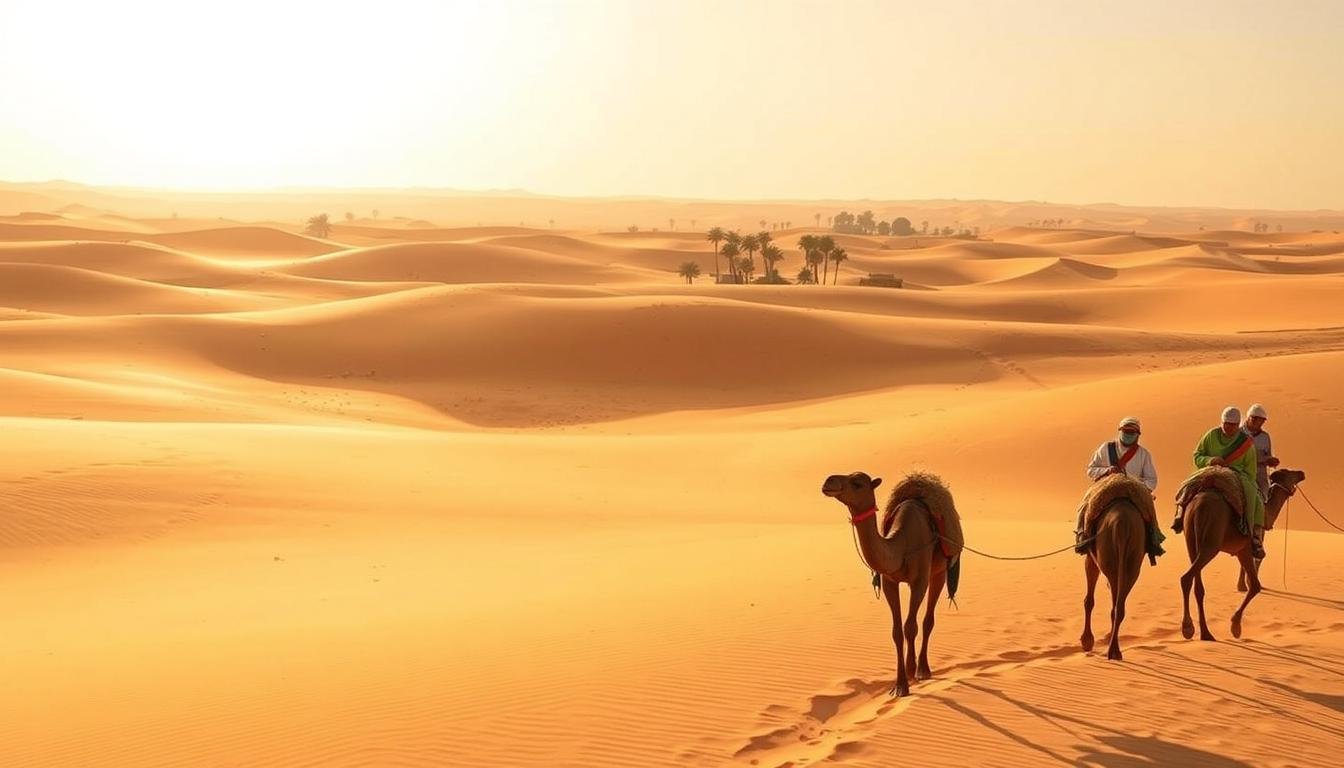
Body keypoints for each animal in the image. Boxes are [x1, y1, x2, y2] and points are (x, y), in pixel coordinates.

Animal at [821, 471, 959, 697]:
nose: (828, 481)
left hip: (939, 572)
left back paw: (922, 669)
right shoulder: (889, 582)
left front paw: (907, 679)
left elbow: (910, 626)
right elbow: (896, 631)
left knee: (927, 620)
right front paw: (900, 684)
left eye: (857, 483)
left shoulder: (919, 581)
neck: (901, 546)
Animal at [1179, 467, 1306, 641]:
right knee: (1187, 577)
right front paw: (1235, 626)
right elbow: (1255, 586)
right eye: (1289, 473)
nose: (1301, 473)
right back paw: (1189, 628)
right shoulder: (1244, 549)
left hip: (1191, 541)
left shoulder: (1240, 551)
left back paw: (1204, 632)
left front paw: (1235, 624)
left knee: (1196, 585)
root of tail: (1199, 505)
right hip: (1210, 543)